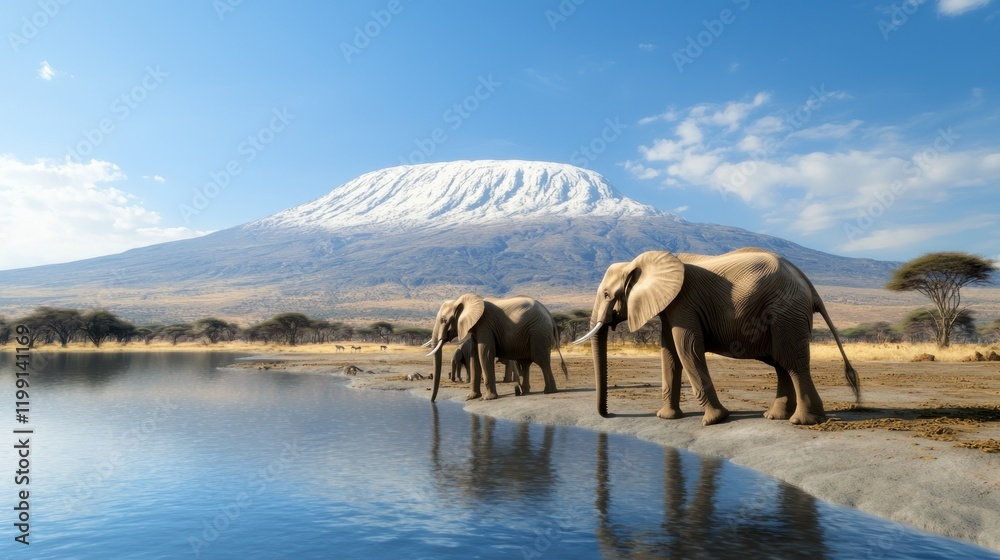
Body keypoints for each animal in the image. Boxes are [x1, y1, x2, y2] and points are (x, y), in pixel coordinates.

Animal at [427, 294, 568, 402]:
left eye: (444, 320)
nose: (433, 401)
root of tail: (550, 316)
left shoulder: (485, 325)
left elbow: (485, 354)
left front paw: (488, 398)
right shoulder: (476, 328)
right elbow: (474, 357)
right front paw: (472, 397)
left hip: (538, 332)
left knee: (541, 360)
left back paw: (549, 391)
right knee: (524, 363)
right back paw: (524, 392)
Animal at [575, 248, 860, 426]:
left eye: (607, 295)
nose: (609, 414)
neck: (641, 261)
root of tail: (807, 282)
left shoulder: (684, 302)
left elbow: (687, 348)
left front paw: (715, 420)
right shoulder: (669, 305)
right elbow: (669, 353)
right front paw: (666, 417)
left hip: (786, 312)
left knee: (792, 363)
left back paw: (802, 422)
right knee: (781, 364)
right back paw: (775, 416)